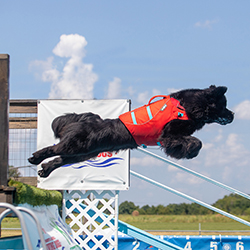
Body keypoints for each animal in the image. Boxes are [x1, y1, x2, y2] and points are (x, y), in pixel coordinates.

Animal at [28, 86, 234, 178]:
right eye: (223, 105)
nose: (233, 115)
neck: (189, 106)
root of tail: (86, 119)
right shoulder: (169, 135)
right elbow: (196, 142)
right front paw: (190, 152)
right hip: (77, 146)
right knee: (53, 149)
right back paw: (35, 158)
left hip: (82, 153)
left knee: (58, 159)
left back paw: (44, 170)